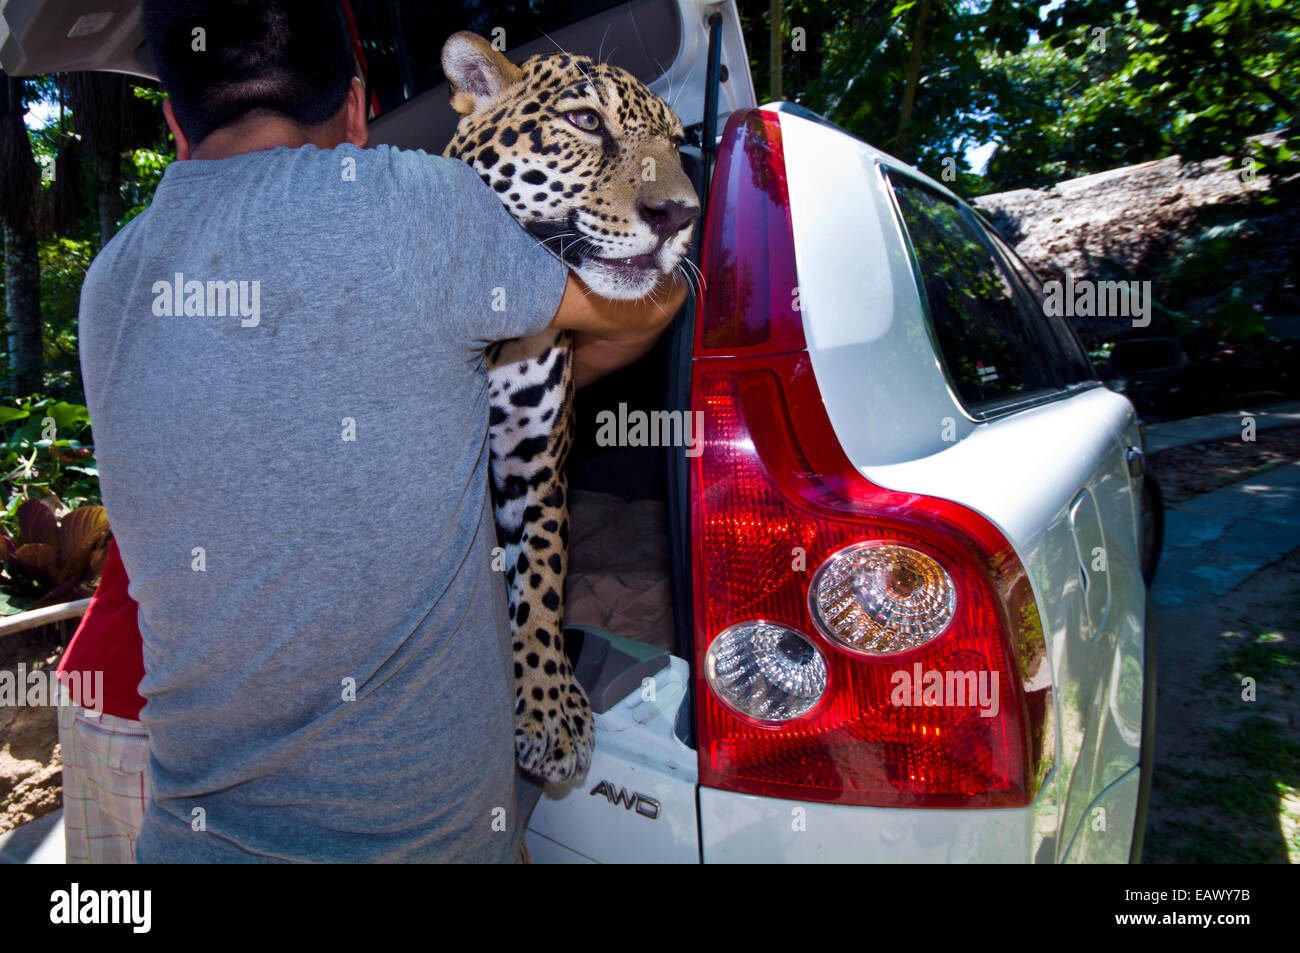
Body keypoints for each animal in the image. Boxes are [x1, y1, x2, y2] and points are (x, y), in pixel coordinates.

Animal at [440, 32, 699, 783]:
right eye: (586, 121)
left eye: (678, 145)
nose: (682, 215)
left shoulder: (532, 467)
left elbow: (543, 578)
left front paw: (549, 705)